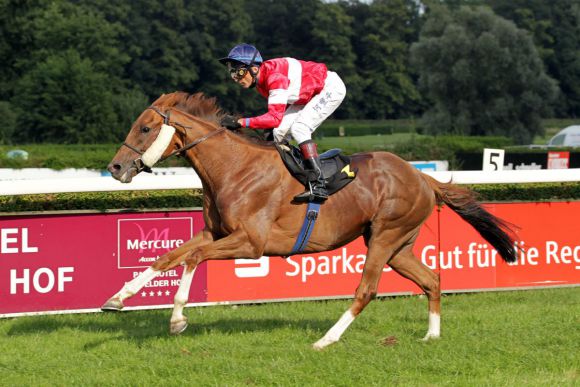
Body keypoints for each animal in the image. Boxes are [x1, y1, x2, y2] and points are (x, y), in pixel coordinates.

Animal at [101, 92, 516, 350]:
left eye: (145, 128)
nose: (116, 168)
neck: (234, 167)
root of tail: (422, 177)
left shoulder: (251, 243)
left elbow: (191, 258)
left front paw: (176, 319)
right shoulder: (214, 232)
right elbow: (167, 257)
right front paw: (116, 299)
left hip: (386, 236)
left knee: (366, 290)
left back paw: (326, 339)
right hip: (398, 245)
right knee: (431, 278)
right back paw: (431, 336)